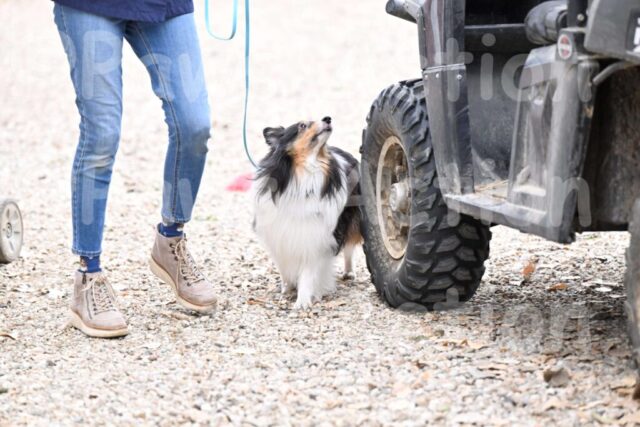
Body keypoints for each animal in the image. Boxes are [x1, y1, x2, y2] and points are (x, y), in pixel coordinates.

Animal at [252, 116, 362, 309]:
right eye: (302, 125)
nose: (327, 118)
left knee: (349, 247)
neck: (306, 170)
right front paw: (286, 288)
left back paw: (349, 272)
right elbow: (283, 266)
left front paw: (303, 301)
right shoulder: (278, 235)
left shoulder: (315, 238)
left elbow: (308, 272)